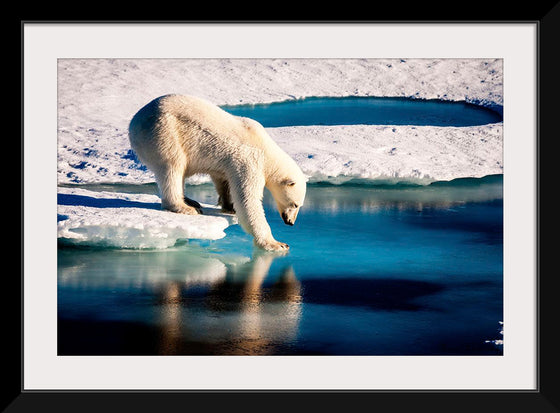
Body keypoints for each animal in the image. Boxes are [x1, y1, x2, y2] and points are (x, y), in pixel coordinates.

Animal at [128, 94, 306, 249]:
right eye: (295, 204)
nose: (290, 222)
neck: (266, 149)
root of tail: (133, 123)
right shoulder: (249, 161)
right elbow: (248, 200)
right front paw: (276, 243)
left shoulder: (228, 163)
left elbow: (223, 180)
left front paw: (229, 206)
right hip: (164, 133)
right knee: (172, 167)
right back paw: (185, 207)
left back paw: (191, 201)